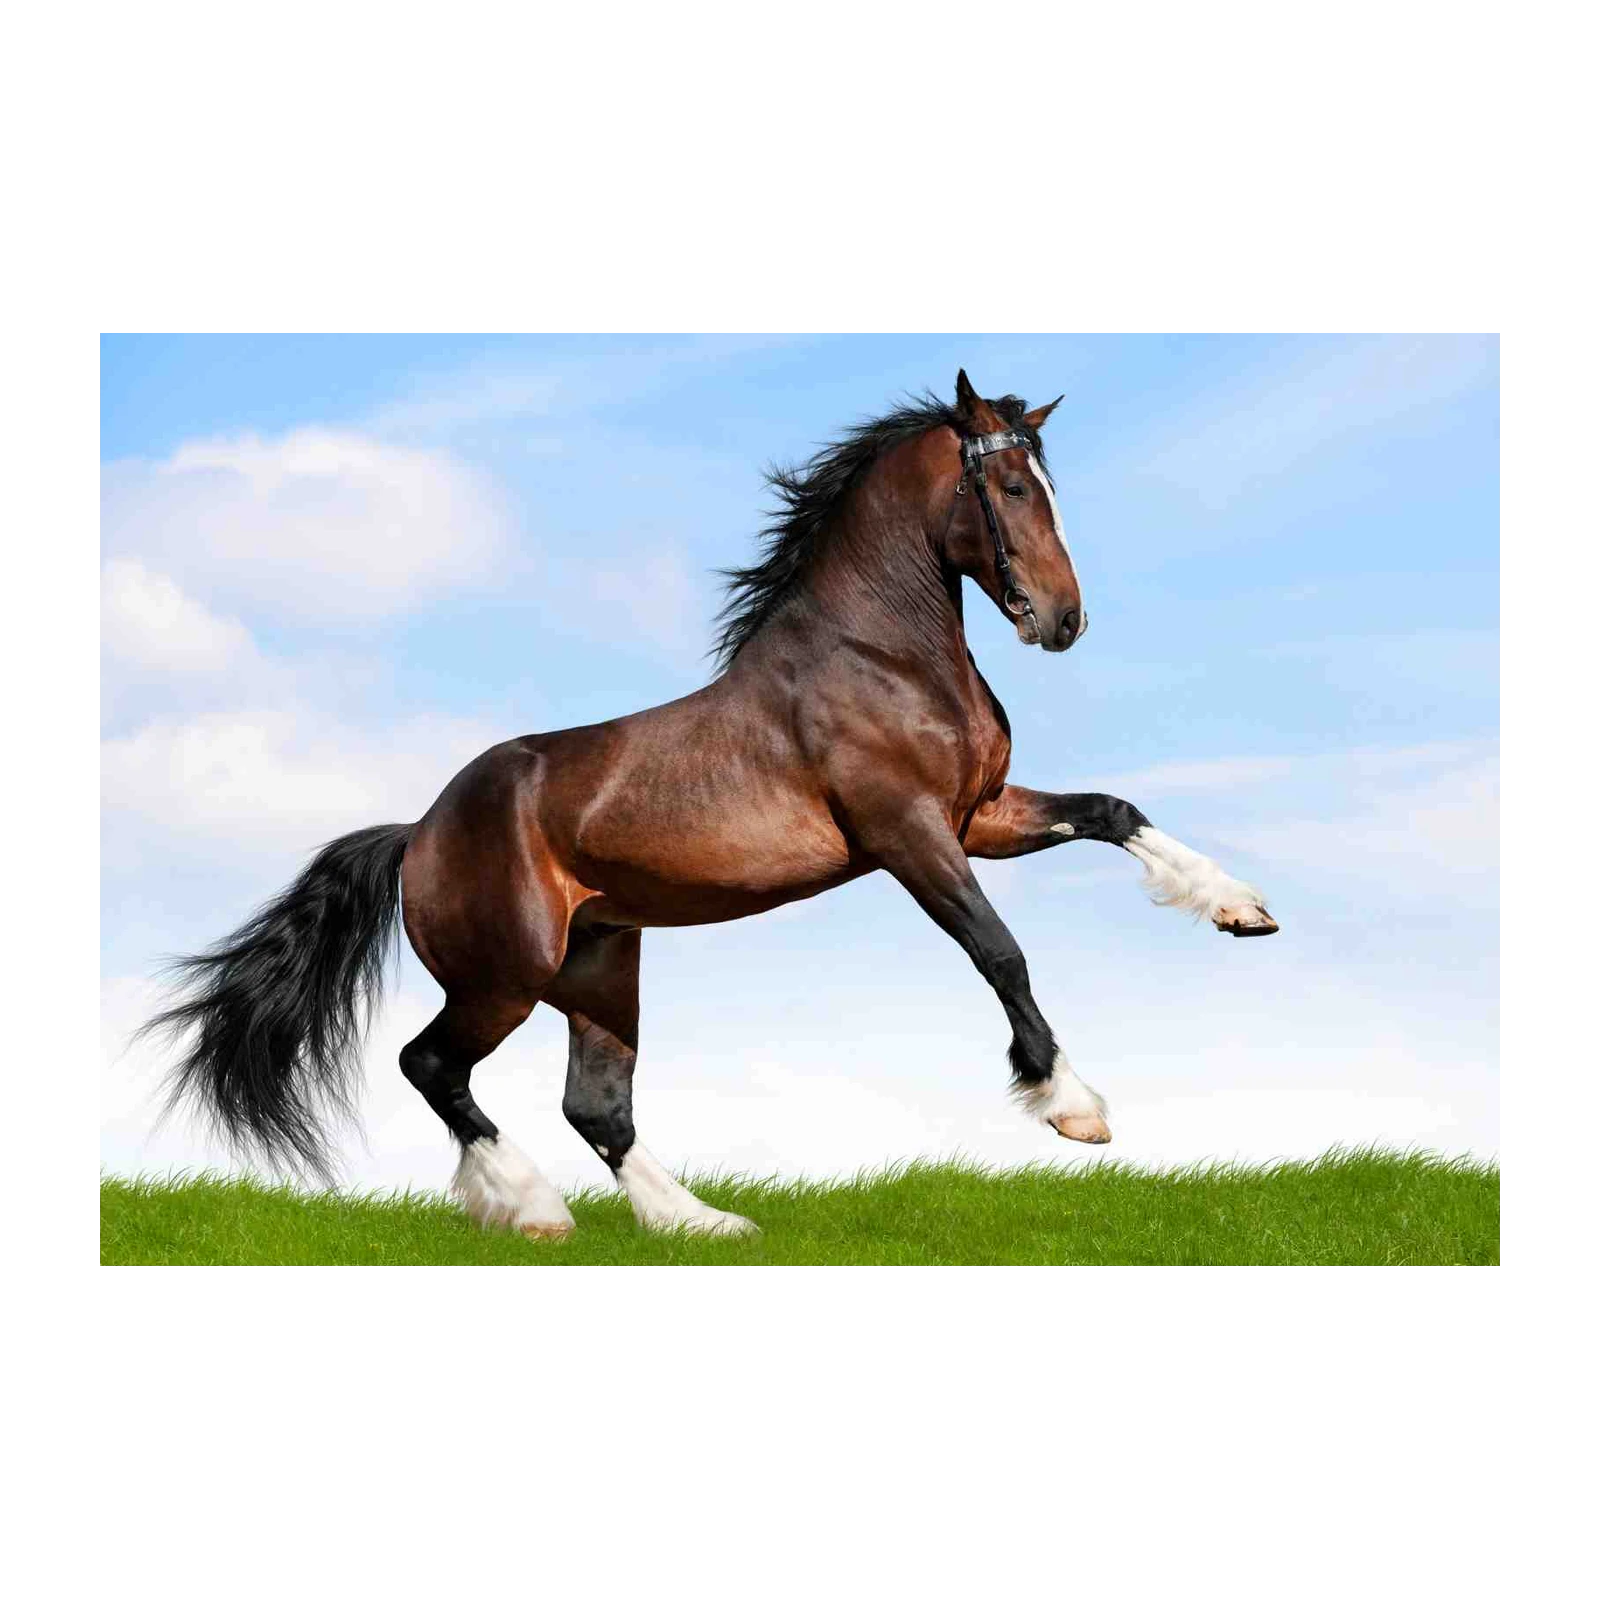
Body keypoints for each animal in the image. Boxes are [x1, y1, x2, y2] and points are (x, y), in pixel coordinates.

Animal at [141, 370, 1278, 1239]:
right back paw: (533, 1209)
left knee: (596, 1106)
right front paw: (1072, 1107)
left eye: (1047, 482)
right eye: (1004, 482)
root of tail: (418, 833)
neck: (882, 654)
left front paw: (1243, 911)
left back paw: (700, 1222)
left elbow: (1112, 810)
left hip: (601, 967)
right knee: (433, 1066)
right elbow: (1000, 953)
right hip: (507, 975)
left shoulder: (979, 816)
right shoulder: (910, 834)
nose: (1061, 620)